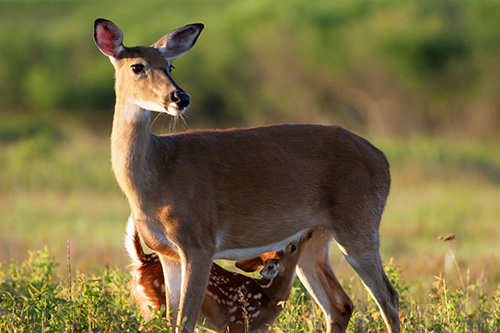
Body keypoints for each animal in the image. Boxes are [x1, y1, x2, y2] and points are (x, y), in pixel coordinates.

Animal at [125, 217, 312, 330]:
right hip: (158, 304)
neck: (268, 295)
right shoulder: (237, 322)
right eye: (292, 246)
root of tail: (142, 261)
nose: (309, 232)